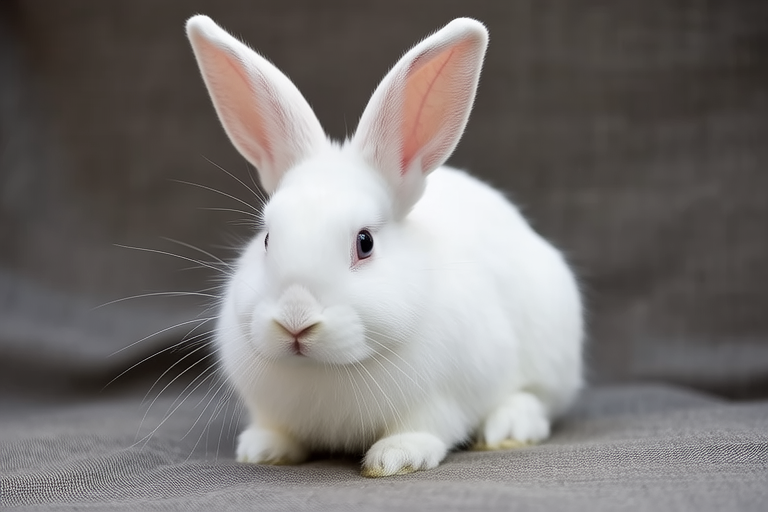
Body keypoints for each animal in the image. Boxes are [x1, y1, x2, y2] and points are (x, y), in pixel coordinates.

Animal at [186, 14, 583, 477]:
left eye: (365, 243)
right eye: (267, 238)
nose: (295, 320)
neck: (327, 370)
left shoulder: (443, 398)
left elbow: (426, 426)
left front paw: (396, 457)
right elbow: (274, 429)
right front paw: (263, 450)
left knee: (536, 396)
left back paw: (511, 427)